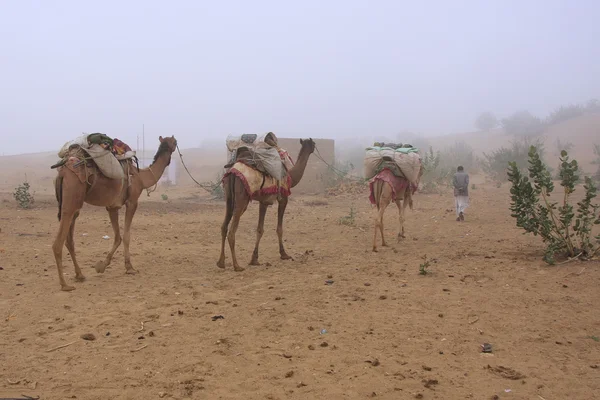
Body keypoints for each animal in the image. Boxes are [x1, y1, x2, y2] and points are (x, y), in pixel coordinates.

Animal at [52, 135, 176, 290]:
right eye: (174, 142)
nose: (176, 143)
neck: (141, 177)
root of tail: (62, 171)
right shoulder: (132, 202)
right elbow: (126, 236)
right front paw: (129, 268)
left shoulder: (112, 207)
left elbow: (118, 237)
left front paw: (101, 266)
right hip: (71, 199)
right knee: (58, 243)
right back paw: (64, 284)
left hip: (74, 205)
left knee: (69, 240)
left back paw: (79, 275)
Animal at [218, 138, 316, 272]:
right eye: (312, 144)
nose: (314, 146)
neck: (290, 176)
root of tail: (232, 172)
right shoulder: (283, 198)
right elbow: (279, 228)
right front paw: (284, 254)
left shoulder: (263, 201)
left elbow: (260, 229)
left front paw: (254, 259)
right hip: (242, 199)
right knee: (232, 231)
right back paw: (237, 266)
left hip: (228, 197)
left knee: (224, 227)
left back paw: (221, 262)